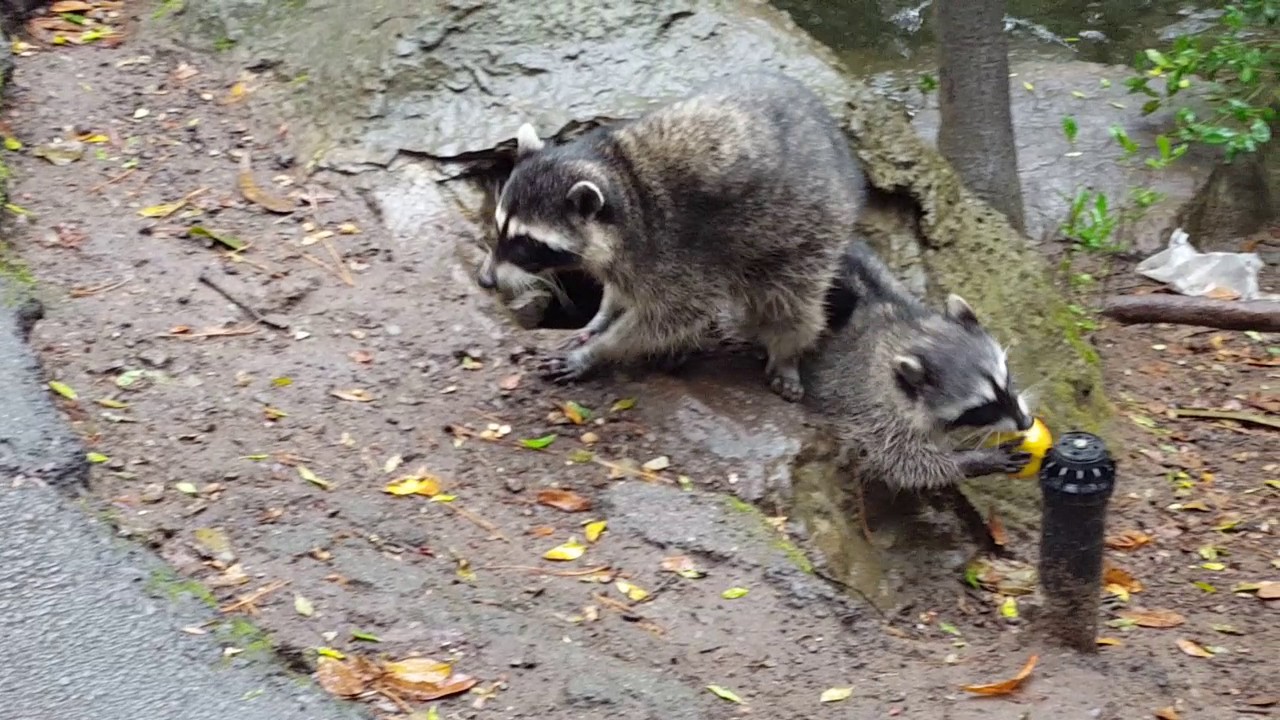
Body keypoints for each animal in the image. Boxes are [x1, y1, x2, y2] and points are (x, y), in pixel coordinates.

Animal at [476, 70, 866, 402]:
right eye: (498, 227)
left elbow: (668, 318)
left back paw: (787, 353)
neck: (621, 176)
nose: (485, 281)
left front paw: (599, 351)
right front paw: (602, 317)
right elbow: (621, 288)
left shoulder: (676, 251)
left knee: (790, 301)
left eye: (526, 243)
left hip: (811, 230)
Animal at [801, 238, 1035, 491]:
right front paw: (972, 460)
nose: (1026, 422)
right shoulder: (871, 402)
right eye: (983, 407)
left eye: (1006, 380)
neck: (913, 334)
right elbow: (898, 460)